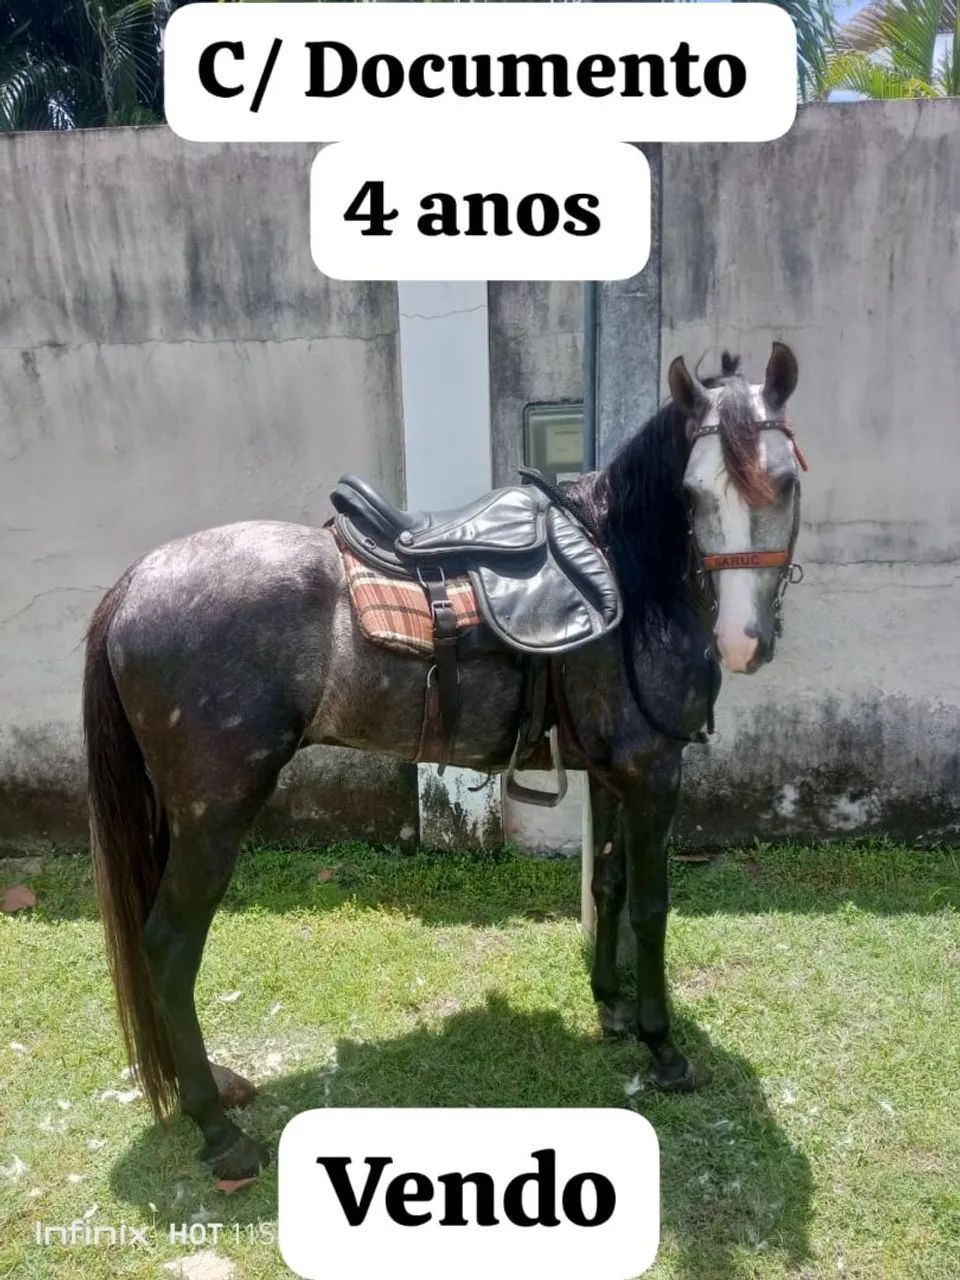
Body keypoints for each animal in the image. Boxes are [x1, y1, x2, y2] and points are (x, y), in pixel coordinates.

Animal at [83, 342, 803, 1181]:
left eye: (785, 481)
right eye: (692, 493)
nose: (743, 642)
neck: (626, 574)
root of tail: (138, 580)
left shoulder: (612, 774)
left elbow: (609, 885)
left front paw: (610, 1004)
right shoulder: (656, 775)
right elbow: (652, 908)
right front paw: (663, 1047)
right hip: (213, 817)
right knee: (168, 945)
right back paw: (218, 1130)